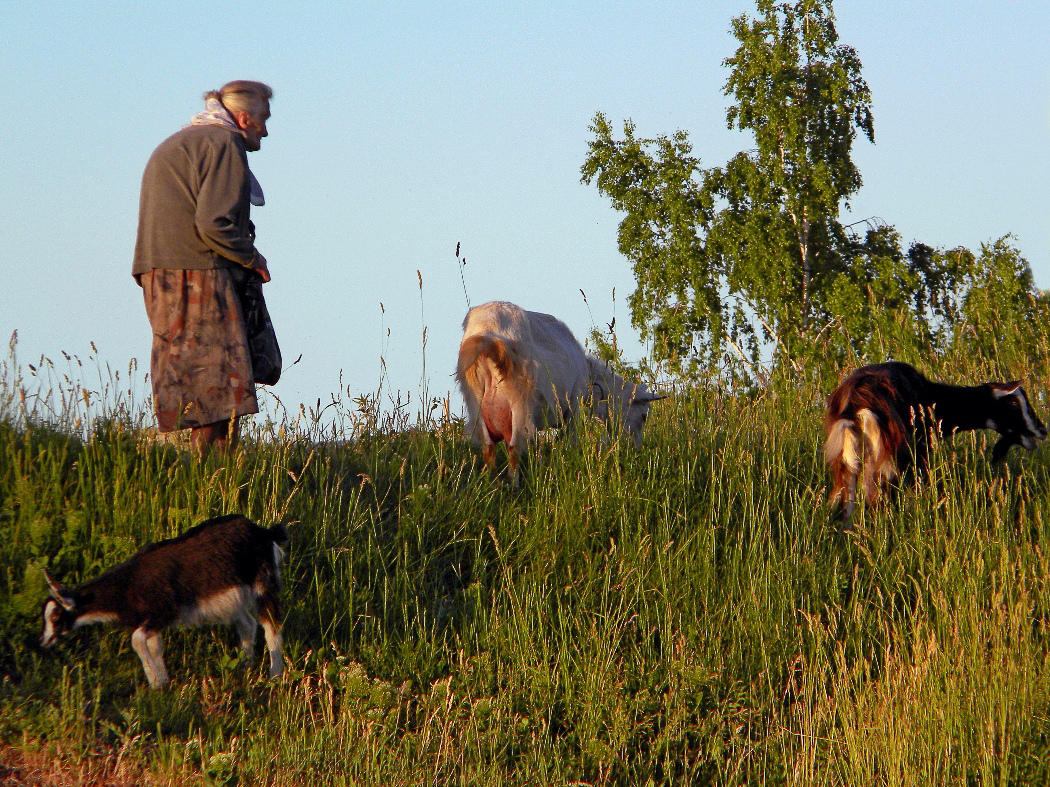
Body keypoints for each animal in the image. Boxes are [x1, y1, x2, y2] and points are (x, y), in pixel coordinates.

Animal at [40, 514, 287, 688]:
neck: (126, 586)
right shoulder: (151, 621)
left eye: (56, 616)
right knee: (247, 623)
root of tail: (265, 532)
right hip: (233, 598)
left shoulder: (164, 611)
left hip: (264, 583)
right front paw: (163, 683)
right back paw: (246, 666)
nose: (44, 641)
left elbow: (137, 640)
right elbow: (154, 646)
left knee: (271, 625)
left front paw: (155, 681)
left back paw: (275, 675)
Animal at [823, 363, 1045, 524]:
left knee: (846, 502)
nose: (1042, 430)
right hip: (888, 457)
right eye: (1014, 403)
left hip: (848, 458)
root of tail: (855, 402)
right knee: (876, 497)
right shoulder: (919, 454)